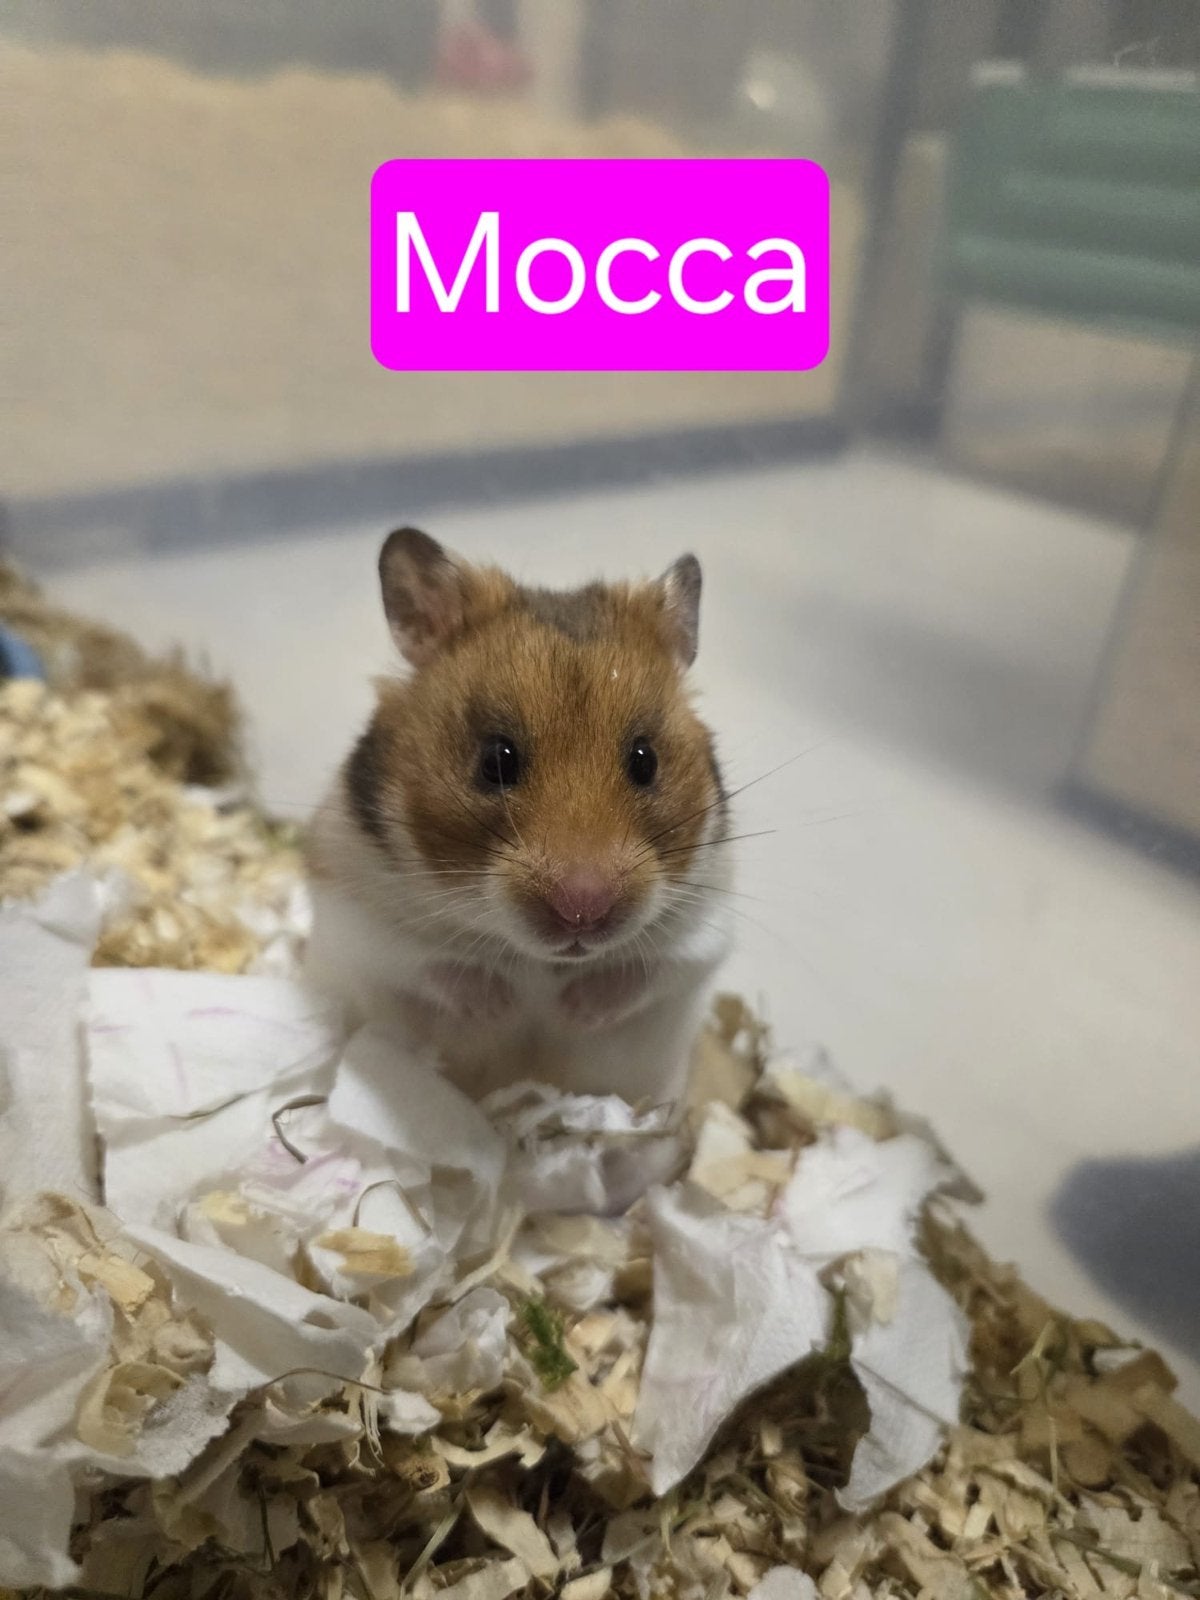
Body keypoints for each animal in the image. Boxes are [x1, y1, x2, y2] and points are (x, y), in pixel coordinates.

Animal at [304, 527, 734, 1104]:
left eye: (646, 760)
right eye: (495, 760)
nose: (583, 912)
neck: (541, 960)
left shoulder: (707, 931)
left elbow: (648, 970)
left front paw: (576, 1011)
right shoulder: (349, 913)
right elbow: (425, 961)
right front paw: (499, 1003)